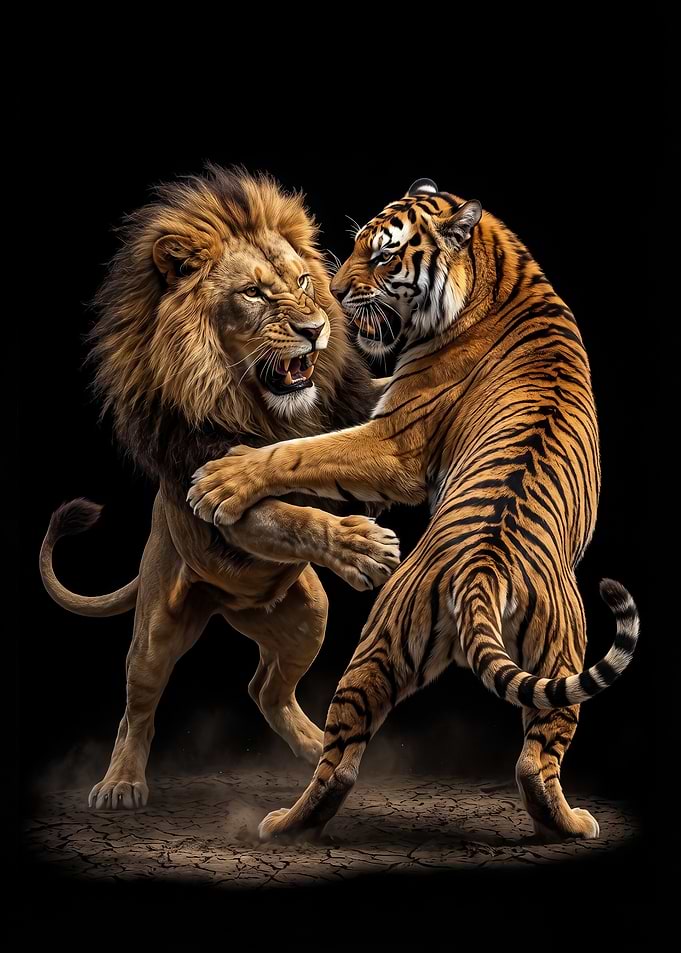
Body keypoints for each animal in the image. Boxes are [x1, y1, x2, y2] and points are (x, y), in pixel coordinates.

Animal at [39, 166, 399, 811]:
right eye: (253, 294)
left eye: (304, 281)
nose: (316, 329)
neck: (260, 406)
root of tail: (228, 606)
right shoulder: (207, 495)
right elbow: (288, 514)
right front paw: (361, 546)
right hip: (156, 631)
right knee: (138, 707)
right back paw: (120, 784)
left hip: (307, 614)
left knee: (264, 689)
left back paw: (318, 749)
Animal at [188, 177, 640, 843]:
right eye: (354, 244)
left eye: (383, 257)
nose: (335, 295)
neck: (502, 273)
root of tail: (483, 574)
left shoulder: (394, 442)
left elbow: (303, 452)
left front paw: (222, 479)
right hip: (562, 656)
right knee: (537, 758)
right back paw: (571, 825)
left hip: (378, 639)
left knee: (340, 759)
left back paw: (284, 825)